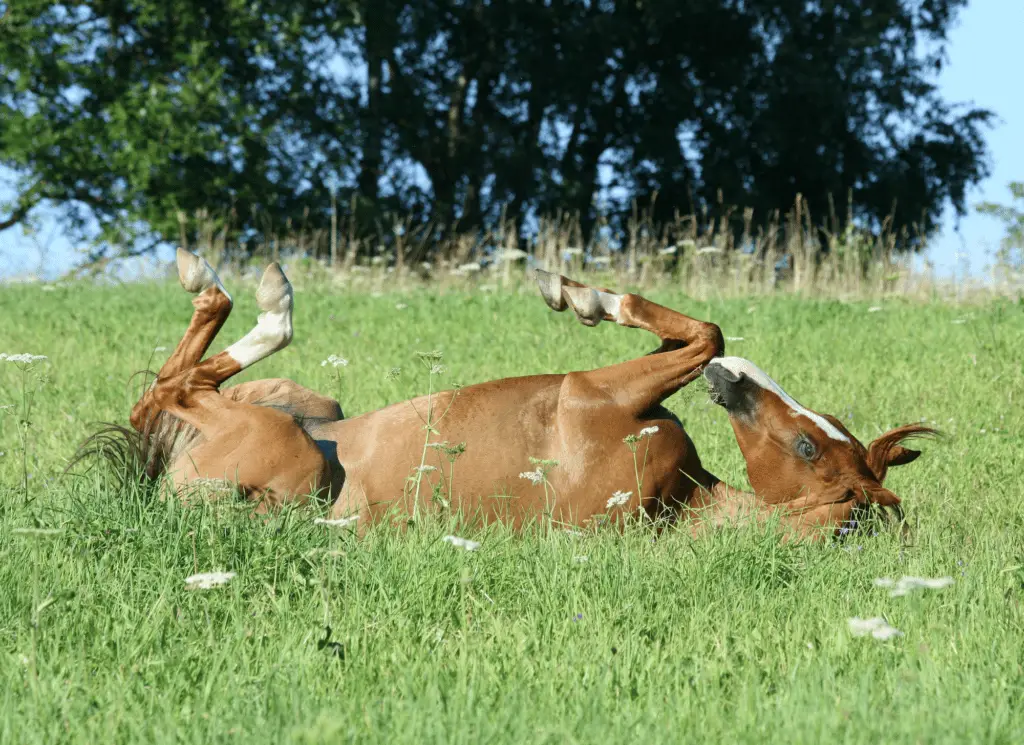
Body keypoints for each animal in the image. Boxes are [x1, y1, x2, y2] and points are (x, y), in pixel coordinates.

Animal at [88, 247, 933, 540]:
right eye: (817, 434)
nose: (741, 382)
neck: (676, 501)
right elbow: (700, 334)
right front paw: (576, 289)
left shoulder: (595, 394)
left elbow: (703, 334)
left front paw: (579, 292)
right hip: (311, 407)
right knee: (171, 389)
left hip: (292, 451)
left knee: (177, 387)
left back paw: (248, 292)